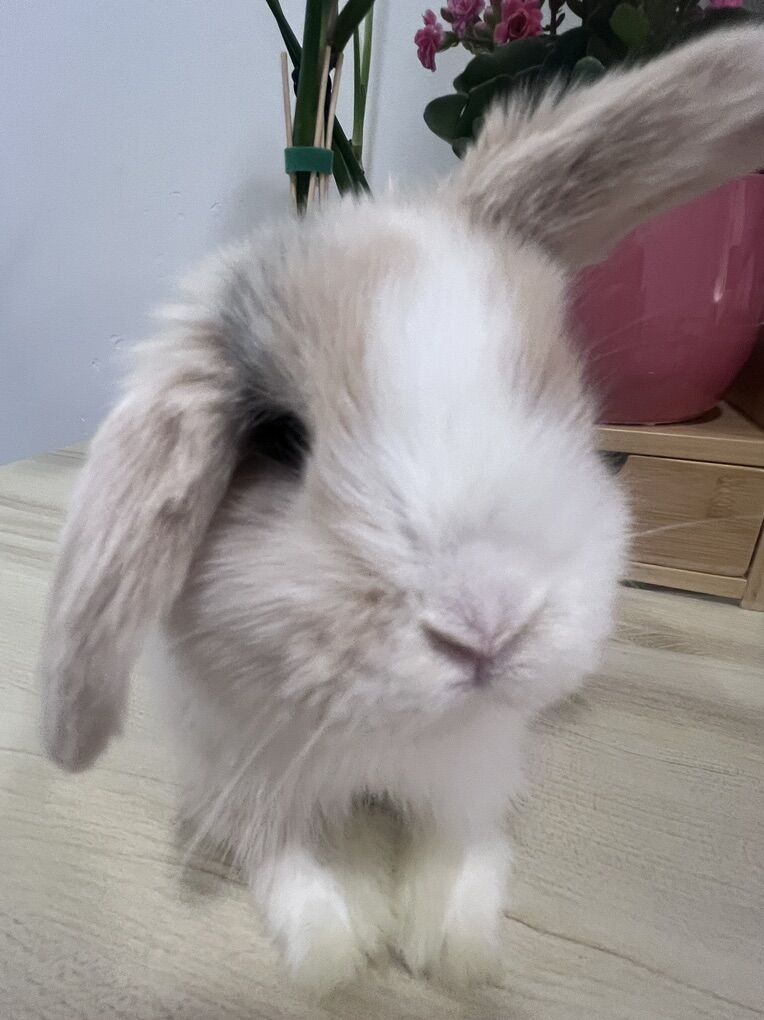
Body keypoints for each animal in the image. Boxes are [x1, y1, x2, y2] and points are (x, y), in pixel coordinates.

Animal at [40, 29, 764, 994]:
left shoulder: (474, 777)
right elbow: (294, 868)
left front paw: (451, 952)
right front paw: (342, 951)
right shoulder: (249, 781)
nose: (487, 627)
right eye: (278, 440)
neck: (388, 739)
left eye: (548, 394)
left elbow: (463, 856)